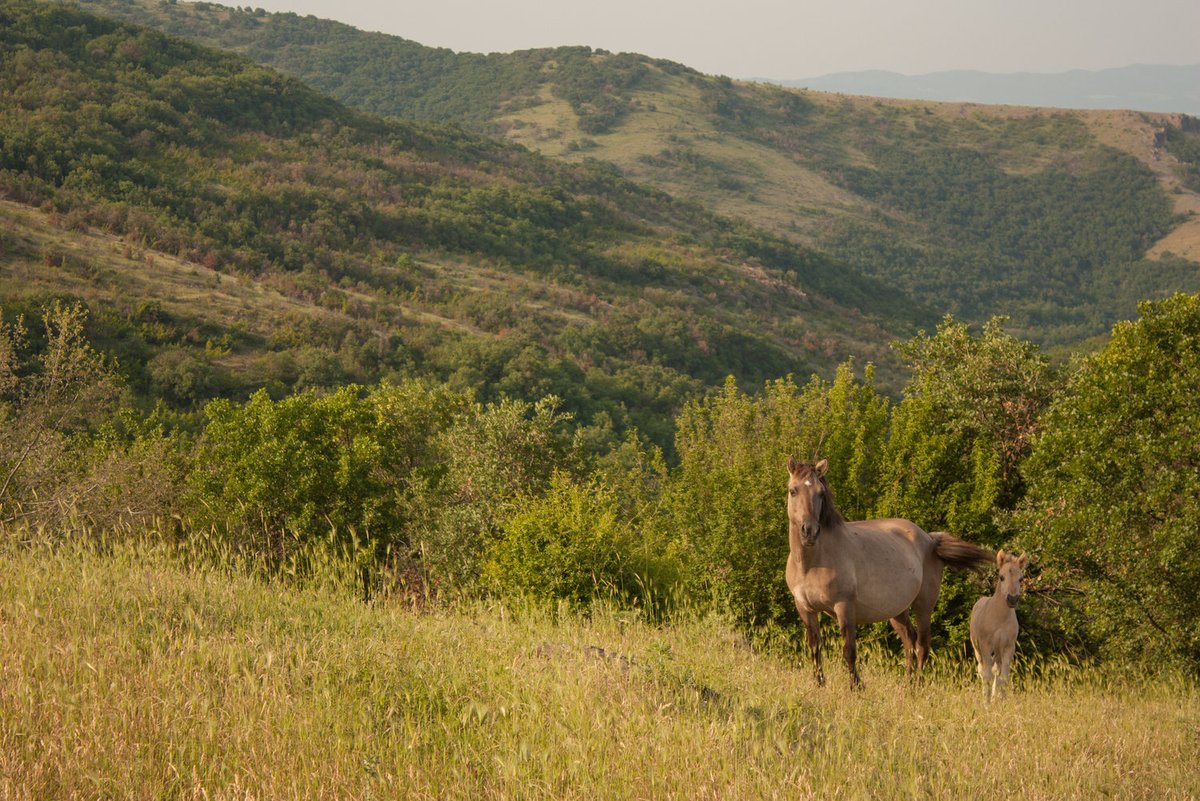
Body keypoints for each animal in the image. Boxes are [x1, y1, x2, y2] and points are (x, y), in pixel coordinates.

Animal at [785, 457, 993, 689]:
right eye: (793, 491)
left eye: (821, 493)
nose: (810, 531)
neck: (813, 563)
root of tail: (929, 539)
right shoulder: (805, 608)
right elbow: (815, 648)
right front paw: (819, 684)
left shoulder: (844, 607)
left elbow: (849, 651)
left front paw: (856, 687)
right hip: (897, 610)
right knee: (910, 640)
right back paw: (907, 683)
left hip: (924, 605)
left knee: (922, 645)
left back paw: (916, 686)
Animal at [969, 550, 1028, 703]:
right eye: (1001, 577)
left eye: (1021, 579)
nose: (1012, 599)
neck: (1000, 618)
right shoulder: (986, 646)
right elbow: (987, 675)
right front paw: (987, 703)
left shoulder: (1008, 647)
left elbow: (1004, 677)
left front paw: (1001, 701)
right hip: (978, 649)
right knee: (982, 670)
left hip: (998, 651)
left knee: (996, 669)